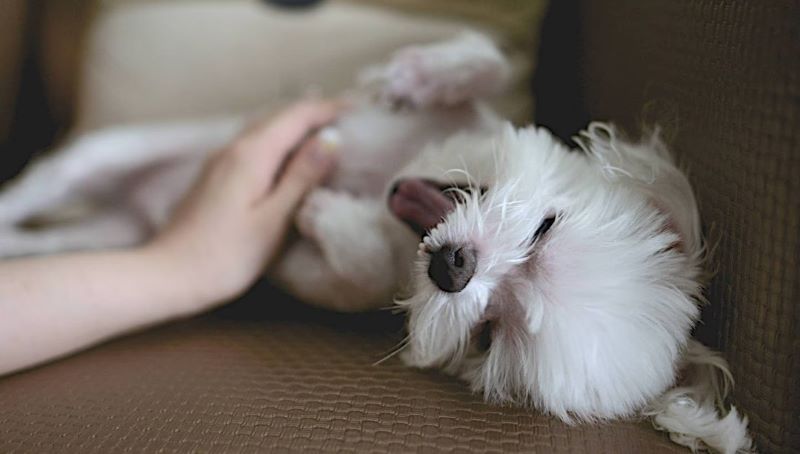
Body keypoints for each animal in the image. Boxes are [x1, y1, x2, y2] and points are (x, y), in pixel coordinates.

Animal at [0, 31, 752, 450]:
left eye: (489, 334)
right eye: (545, 230)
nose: (454, 266)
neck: (398, 181)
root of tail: (139, 208)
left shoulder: (331, 279)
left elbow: (355, 269)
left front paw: (328, 215)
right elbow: (491, 62)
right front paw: (418, 77)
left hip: (107, 235)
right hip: (107, 154)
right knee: (45, 183)